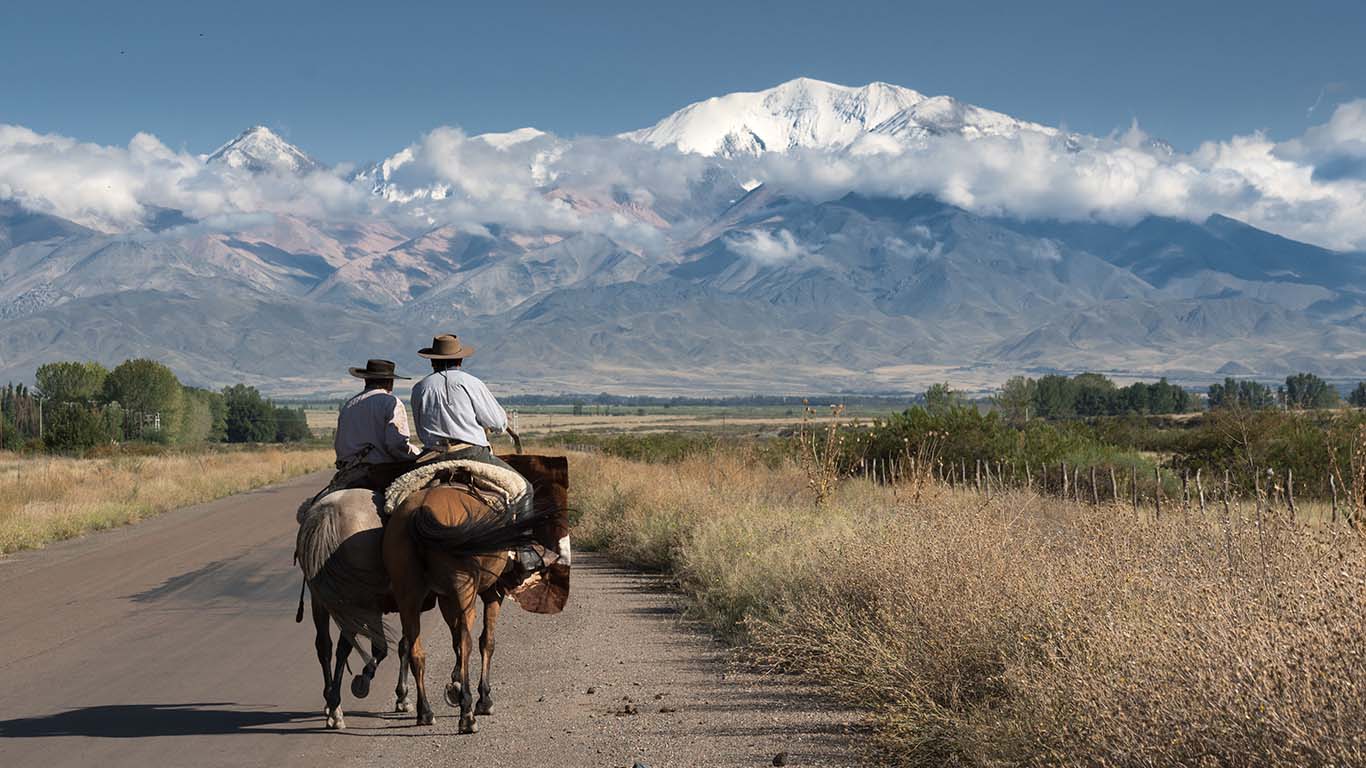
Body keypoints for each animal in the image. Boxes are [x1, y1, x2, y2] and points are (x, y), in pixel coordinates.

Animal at [382, 453, 568, 727]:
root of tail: (421, 508)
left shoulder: (445, 597)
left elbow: (454, 642)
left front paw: (455, 685)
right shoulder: (492, 592)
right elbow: (485, 641)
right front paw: (482, 698)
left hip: (408, 594)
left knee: (416, 647)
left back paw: (425, 711)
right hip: (464, 591)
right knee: (466, 641)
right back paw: (467, 714)